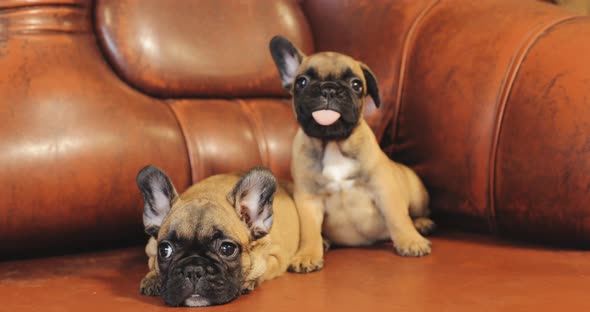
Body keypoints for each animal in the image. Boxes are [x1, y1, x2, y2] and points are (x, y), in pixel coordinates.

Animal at [138, 166, 300, 308]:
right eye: (165, 250)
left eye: (227, 249)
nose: (193, 270)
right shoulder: (151, 249)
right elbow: (152, 263)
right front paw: (152, 278)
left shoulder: (276, 257)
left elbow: (262, 270)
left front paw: (248, 282)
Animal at [270, 34, 438, 272]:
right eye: (302, 82)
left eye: (356, 84)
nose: (329, 89)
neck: (333, 143)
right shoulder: (308, 200)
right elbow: (309, 231)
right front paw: (307, 254)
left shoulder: (384, 188)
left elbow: (397, 216)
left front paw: (410, 241)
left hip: (416, 194)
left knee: (417, 213)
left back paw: (422, 224)